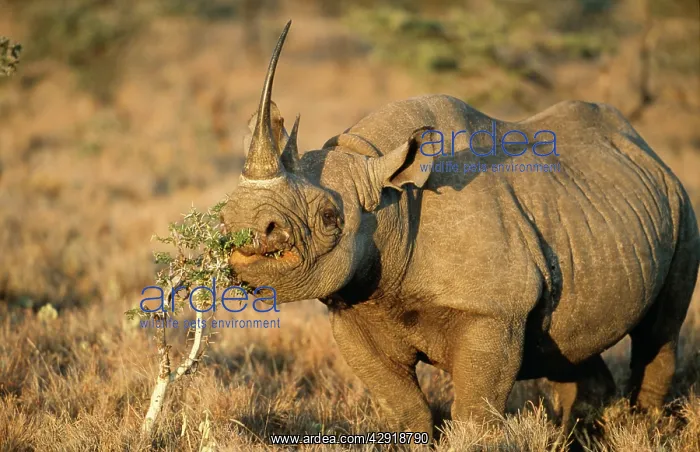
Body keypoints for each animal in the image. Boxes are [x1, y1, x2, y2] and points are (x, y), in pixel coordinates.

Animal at [221, 21, 700, 438]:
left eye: (329, 218)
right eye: (226, 213)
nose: (242, 225)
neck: (391, 203)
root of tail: (647, 150)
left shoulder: (492, 310)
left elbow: (474, 413)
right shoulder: (354, 309)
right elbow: (404, 409)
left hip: (681, 207)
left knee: (659, 334)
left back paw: (644, 427)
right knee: (566, 346)